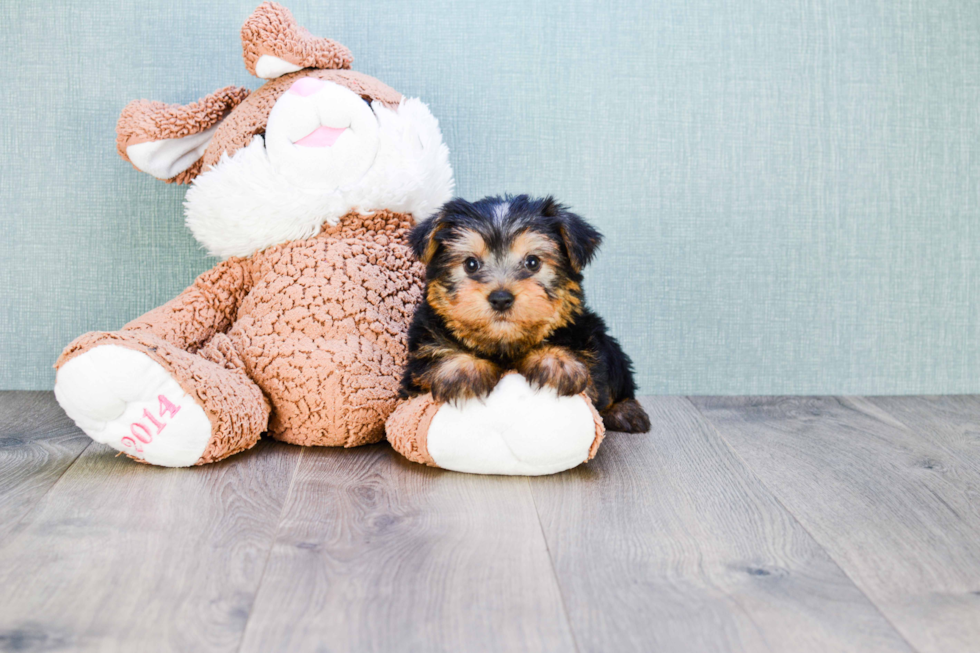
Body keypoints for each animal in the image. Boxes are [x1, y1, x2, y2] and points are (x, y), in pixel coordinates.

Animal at [398, 192, 652, 432]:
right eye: (471, 264)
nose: (501, 299)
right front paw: (462, 368)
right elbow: (434, 353)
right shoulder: (417, 363)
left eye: (532, 262)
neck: (504, 346)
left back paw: (625, 410)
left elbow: (585, 365)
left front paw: (556, 361)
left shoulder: (583, 333)